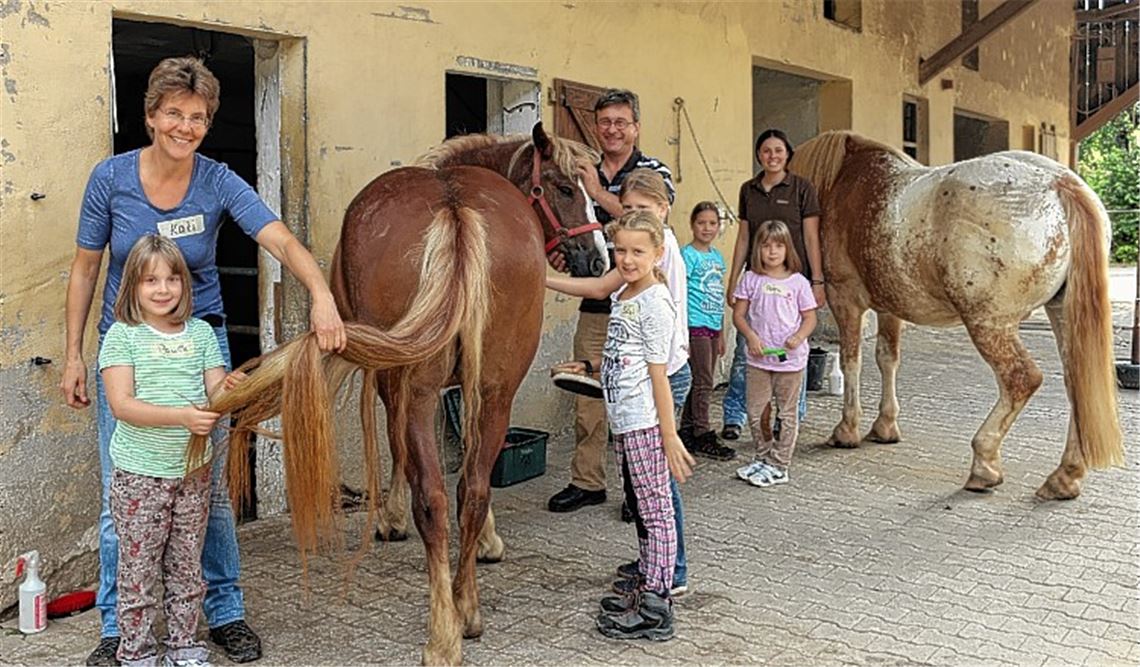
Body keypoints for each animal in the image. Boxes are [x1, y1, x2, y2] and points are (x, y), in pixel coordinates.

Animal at [196, 123, 603, 665]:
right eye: (563, 187)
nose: (598, 259)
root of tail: (456, 211)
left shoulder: (398, 384)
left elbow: (400, 453)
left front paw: (392, 518)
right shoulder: (472, 388)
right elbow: (464, 462)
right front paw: (482, 542)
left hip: (419, 390)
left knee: (435, 497)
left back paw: (443, 633)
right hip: (493, 390)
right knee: (470, 490)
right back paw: (466, 610)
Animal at [789, 131, 1123, 500]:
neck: (842, 182)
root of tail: (1060, 184)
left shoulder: (845, 300)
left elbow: (852, 362)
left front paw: (846, 429)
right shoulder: (889, 306)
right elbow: (887, 359)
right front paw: (885, 426)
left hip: (988, 324)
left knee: (1021, 379)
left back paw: (984, 464)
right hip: (1062, 315)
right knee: (1076, 383)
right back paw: (1064, 477)